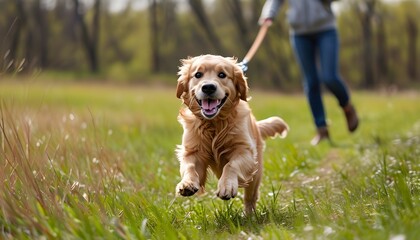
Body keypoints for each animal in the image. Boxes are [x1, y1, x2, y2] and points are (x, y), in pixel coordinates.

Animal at [175, 54, 288, 214]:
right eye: (198, 74)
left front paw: (227, 186)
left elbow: (231, 165)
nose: (208, 87)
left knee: (250, 197)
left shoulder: (244, 151)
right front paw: (187, 184)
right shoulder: (193, 151)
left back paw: (249, 215)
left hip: (255, 173)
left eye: (222, 75)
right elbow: (190, 166)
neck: (214, 124)